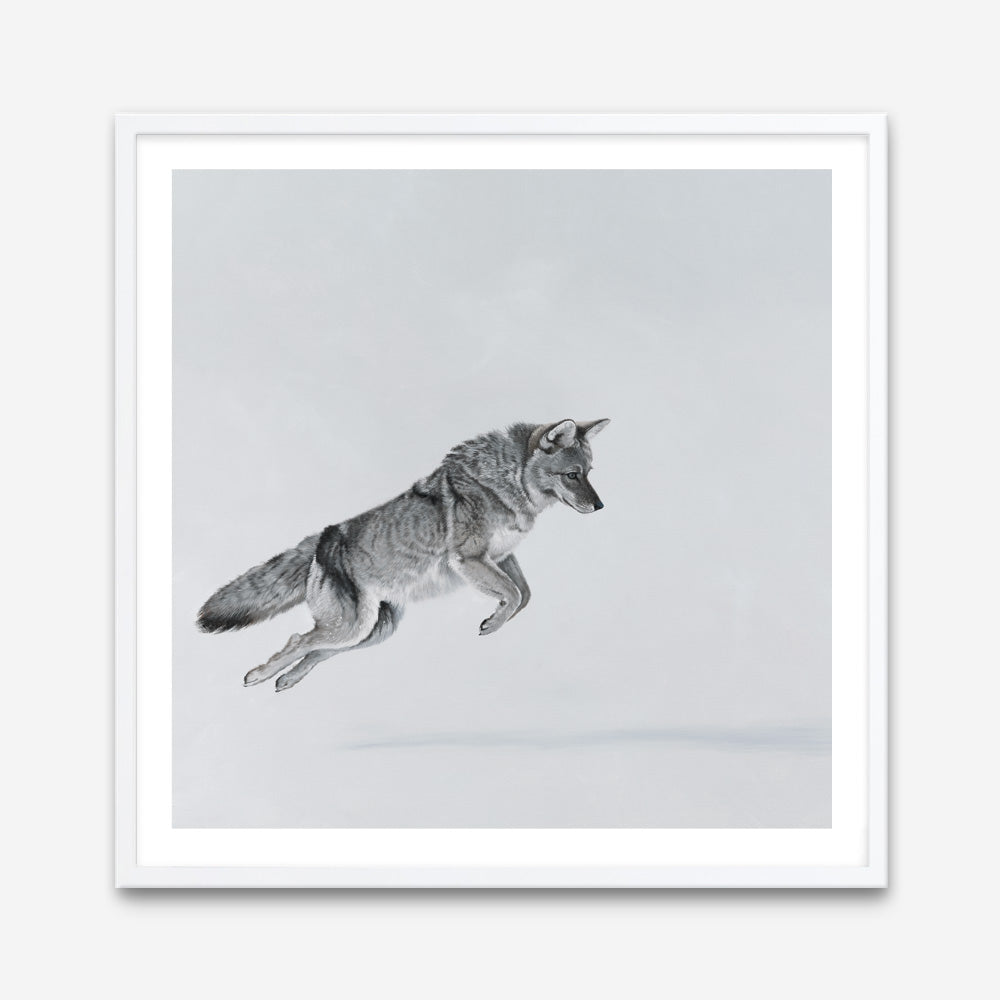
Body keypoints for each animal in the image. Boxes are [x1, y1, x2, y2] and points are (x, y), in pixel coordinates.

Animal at [197, 418, 610, 692]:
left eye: (589, 472)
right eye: (572, 475)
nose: (601, 506)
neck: (506, 483)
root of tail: (323, 537)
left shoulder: (501, 558)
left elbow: (523, 596)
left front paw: (494, 619)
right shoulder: (470, 560)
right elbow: (514, 595)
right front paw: (492, 624)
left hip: (368, 633)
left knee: (318, 651)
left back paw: (286, 680)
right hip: (351, 628)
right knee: (299, 640)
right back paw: (259, 675)